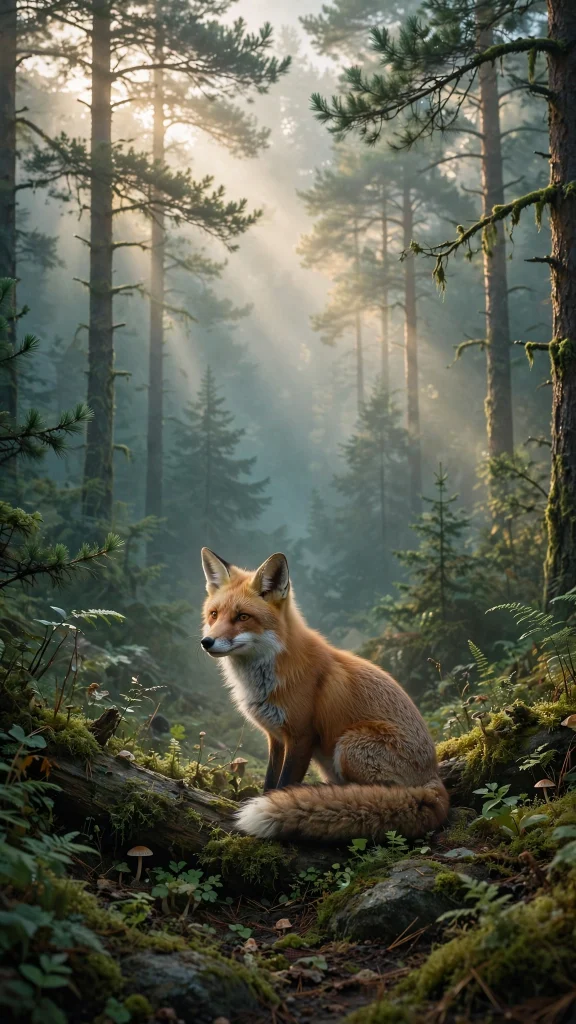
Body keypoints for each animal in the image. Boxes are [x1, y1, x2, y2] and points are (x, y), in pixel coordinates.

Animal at [200, 547, 449, 842]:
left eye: (242, 617)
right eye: (214, 614)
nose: (206, 642)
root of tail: (433, 777)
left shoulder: (301, 736)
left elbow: (284, 784)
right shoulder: (275, 737)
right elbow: (270, 783)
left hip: (350, 744)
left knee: (377, 794)